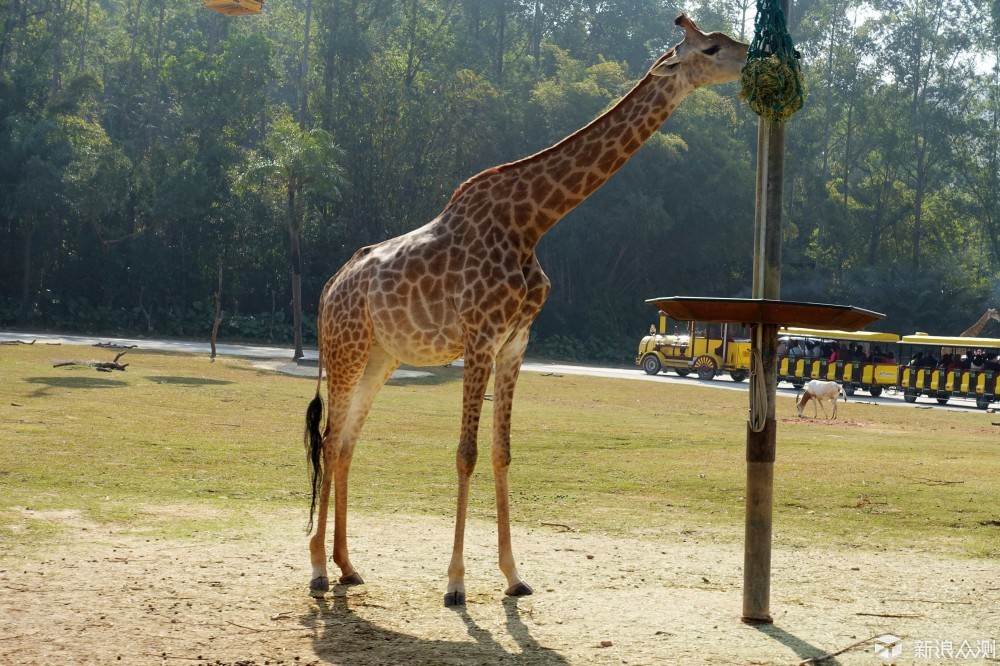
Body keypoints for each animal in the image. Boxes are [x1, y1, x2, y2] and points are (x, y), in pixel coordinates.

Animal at [304, 14, 752, 608]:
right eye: (711, 47)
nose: (753, 58)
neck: (531, 222)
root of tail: (328, 290)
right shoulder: (479, 336)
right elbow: (466, 452)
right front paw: (455, 584)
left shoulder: (515, 341)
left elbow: (502, 452)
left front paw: (513, 576)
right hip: (346, 348)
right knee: (330, 439)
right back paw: (317, 569)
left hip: (381, 356)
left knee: (346, 443)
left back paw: (348, 566)